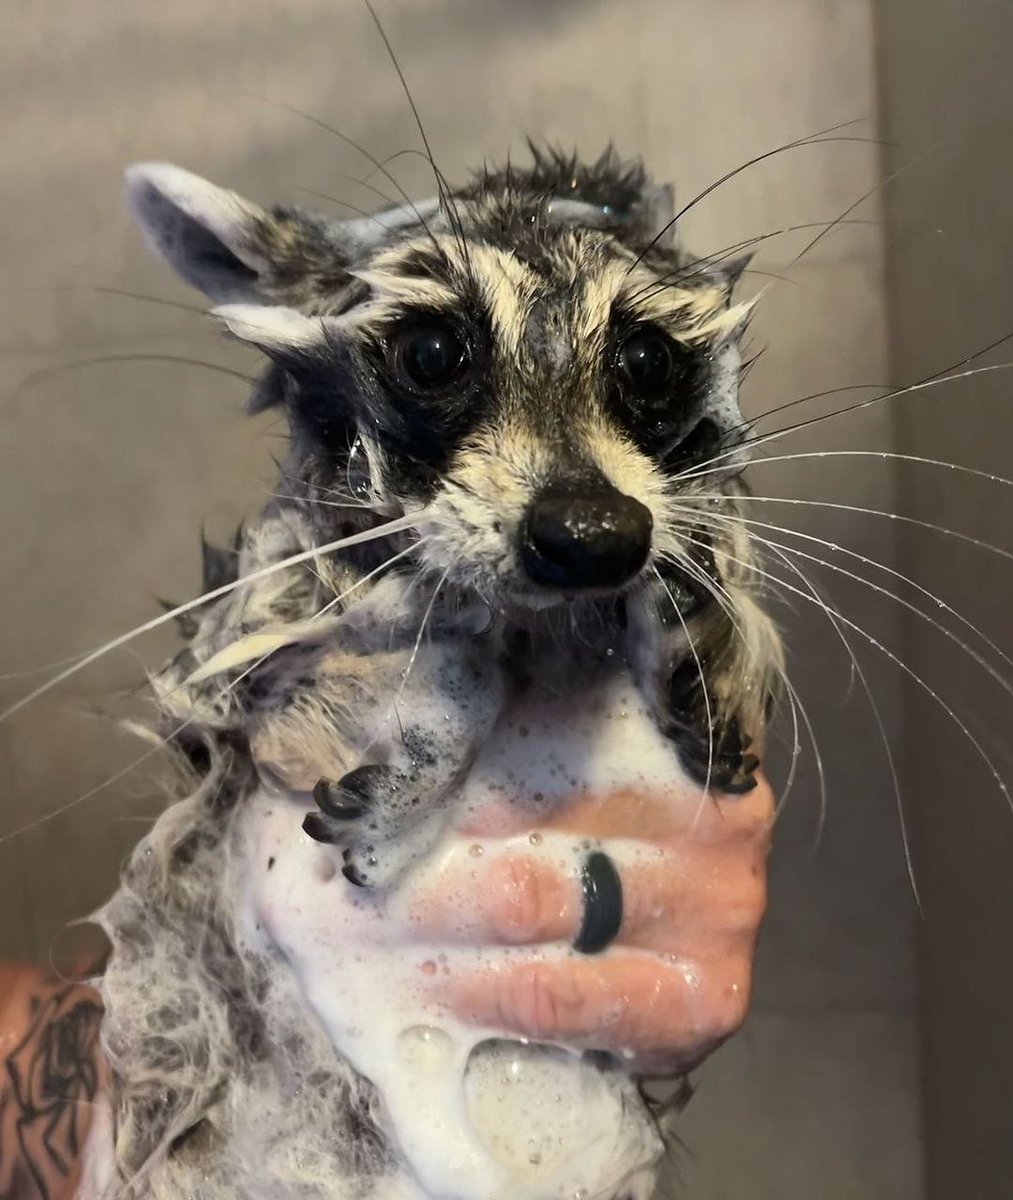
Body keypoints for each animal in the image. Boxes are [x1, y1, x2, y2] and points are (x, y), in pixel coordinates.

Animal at [128, 145, 784, 891]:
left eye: (647, 361)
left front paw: (700, 628)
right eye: (431, 354)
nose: (591, 536)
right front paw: (422, 773)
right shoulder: (260, 623)